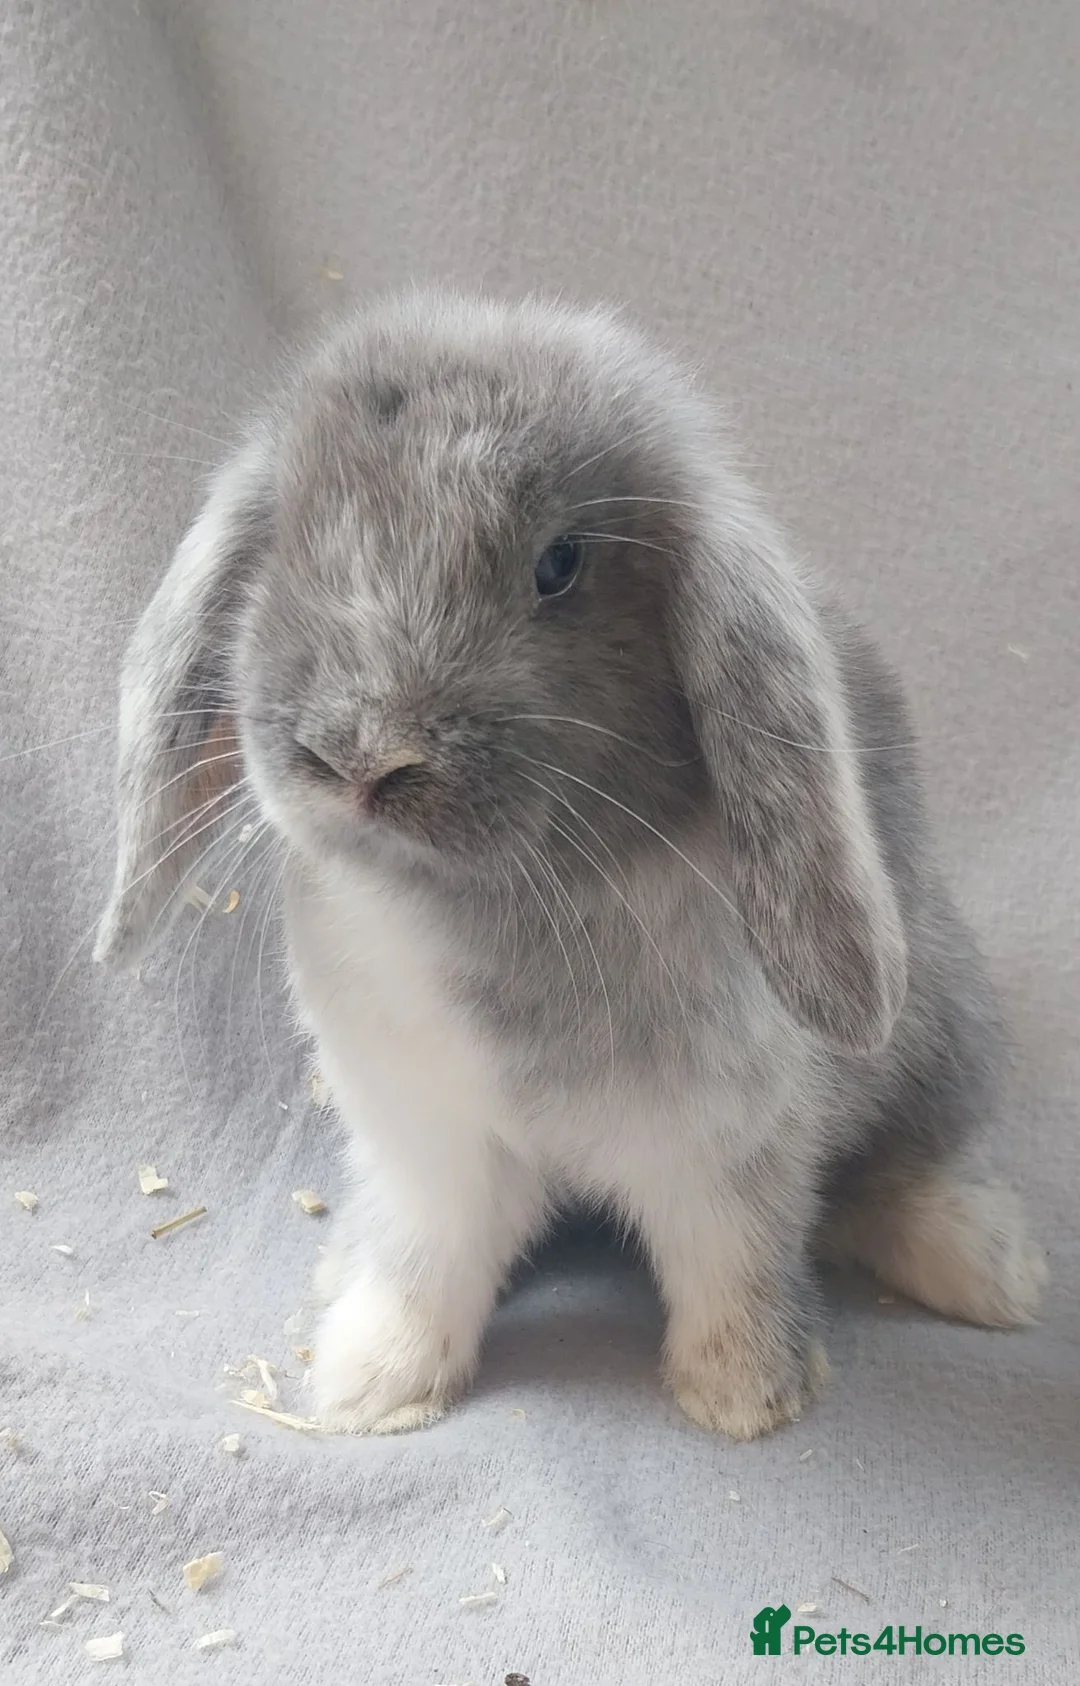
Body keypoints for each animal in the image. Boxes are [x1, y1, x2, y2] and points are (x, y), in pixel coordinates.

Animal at [94, 288, 1047, 1439]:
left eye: (560, 564)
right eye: (288, 540)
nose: (362, 759)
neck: (492, 905)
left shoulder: (727, 1145)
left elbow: (732, 1263)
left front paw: (744, 1399)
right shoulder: (431, 1144)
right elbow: (426, 1264)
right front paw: (372, 1387)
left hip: (942, 1041)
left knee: (899, 1174)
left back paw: (996, 1272)